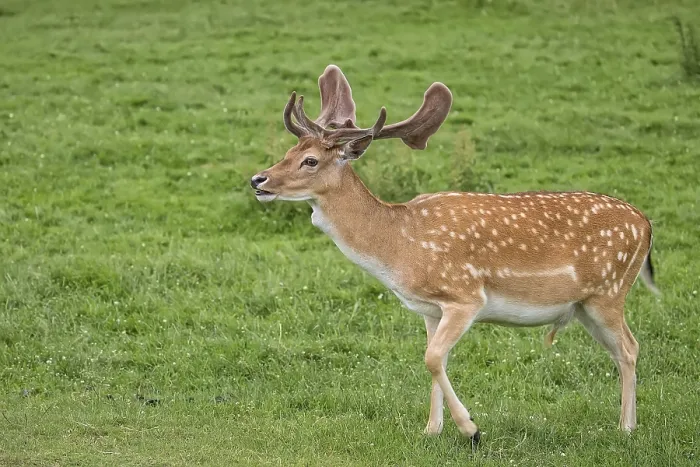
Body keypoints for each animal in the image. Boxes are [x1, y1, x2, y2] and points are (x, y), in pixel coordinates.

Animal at [250, 64, 660, 445]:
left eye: (311, 161)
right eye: (289, 151)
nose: (258, 180)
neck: (400, 249)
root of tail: (646, 223)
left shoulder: (465, 296)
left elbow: (432, 358)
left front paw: (471, 429)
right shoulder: (430, 309)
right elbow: (435, 358)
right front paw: (432, 430)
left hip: (609, 293)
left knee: (630, 347)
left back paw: (626, 428)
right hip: (584, 306)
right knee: (622, 349)